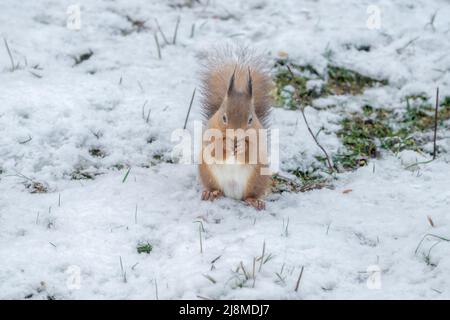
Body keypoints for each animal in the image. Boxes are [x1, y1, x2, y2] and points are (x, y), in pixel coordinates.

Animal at [198, 49, 270, 210]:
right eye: (224, 117)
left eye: (251, 119)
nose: (236, 137)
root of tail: (231, 194)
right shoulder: (209, 135)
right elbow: (215, 148)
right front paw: (226, 143)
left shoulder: (259, 140)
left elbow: (252, 152)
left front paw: (242, 145)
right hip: (208, 174)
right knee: (215, 188)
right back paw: (212, 193)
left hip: (257, 179)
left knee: (249, 195)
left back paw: (254, 201)